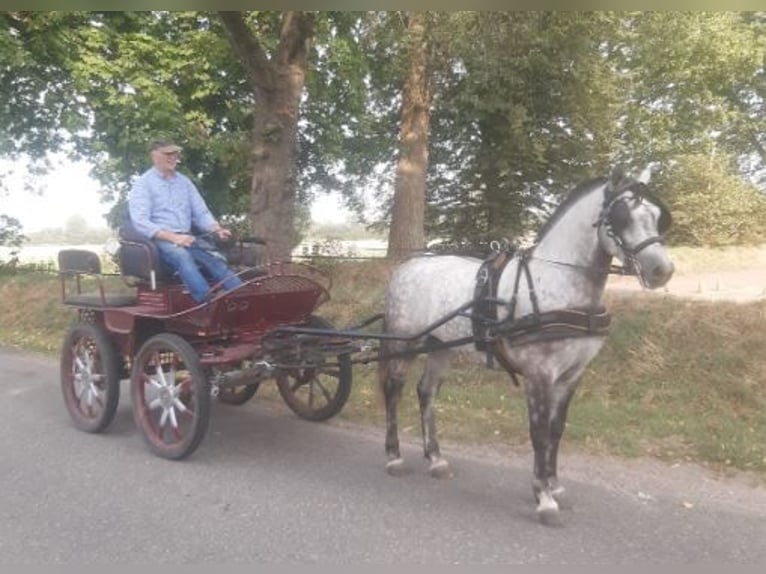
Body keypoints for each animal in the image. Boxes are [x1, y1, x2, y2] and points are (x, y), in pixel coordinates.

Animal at [380, 166, 676, 528]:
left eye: (657, 216)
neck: (558, 283)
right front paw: (544, 497)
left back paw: (435, 458)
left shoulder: (572, 374)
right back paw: (394, 456)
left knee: (426, 392)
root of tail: (407, 266)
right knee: (394, 390)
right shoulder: (539, 373)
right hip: (406, 342)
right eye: (621, 217)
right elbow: (539, 432)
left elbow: (557, 429)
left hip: (441, 346)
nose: (662, 270)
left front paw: (554, 484)